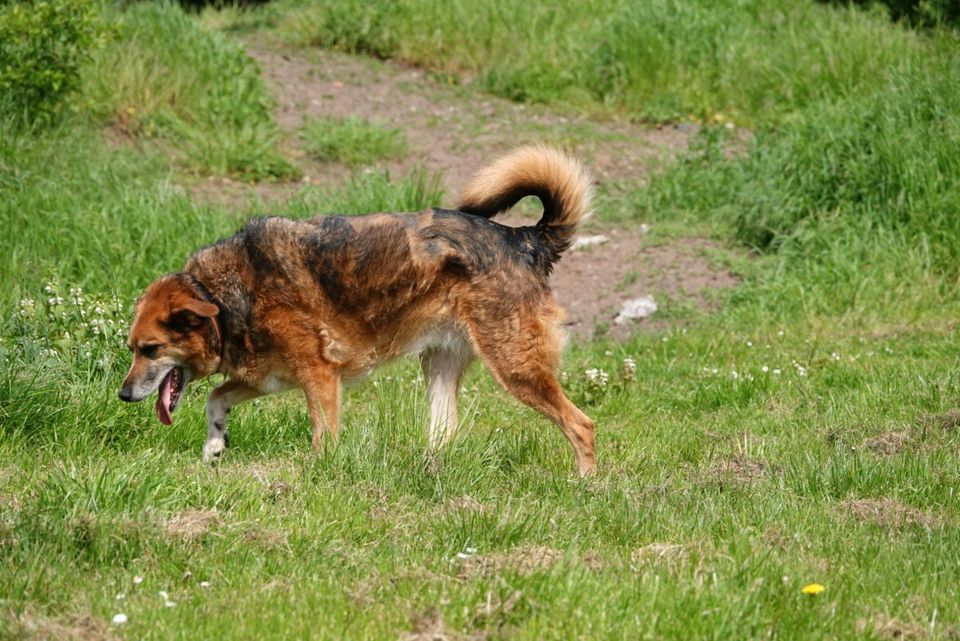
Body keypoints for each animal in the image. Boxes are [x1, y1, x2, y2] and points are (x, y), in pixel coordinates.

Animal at [120, 145, 596, 476]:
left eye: (151, 349)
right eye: (131, 348)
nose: (123, 395)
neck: (223, 298)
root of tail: (525, 239)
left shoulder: (319, 377)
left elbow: (323, 436)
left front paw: (317, 476)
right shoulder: (270, 377)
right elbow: (215, 400)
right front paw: (214, 446)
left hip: (516, 368)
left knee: (582, 425)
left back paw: (586, 485)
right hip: (439, 369)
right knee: (445, 433)